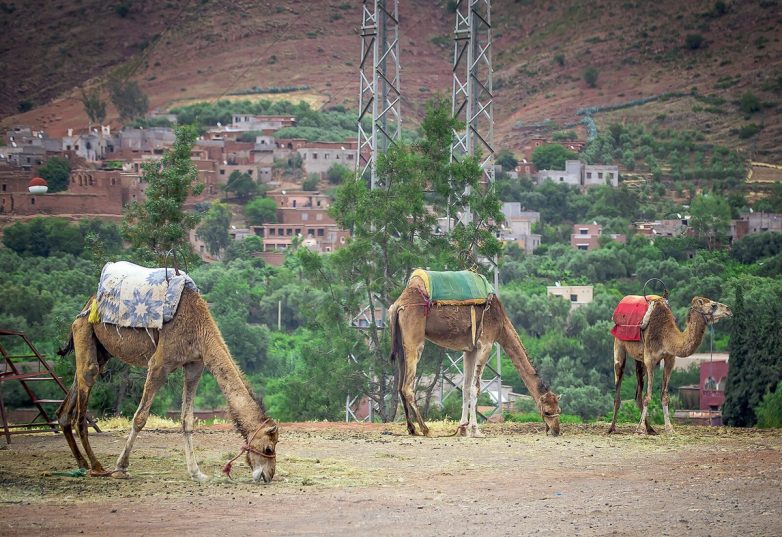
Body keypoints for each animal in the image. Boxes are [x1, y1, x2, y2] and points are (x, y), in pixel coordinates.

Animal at [58, 286, 278, 484]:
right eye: (268, 448)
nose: (268, 476)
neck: (199, 328)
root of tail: (88, 304)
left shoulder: (194, 365)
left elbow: (187, 421)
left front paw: (197, 474)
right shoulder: (159, 364)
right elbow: (140, 418)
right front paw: (120, 468)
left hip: (101, 349)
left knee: (68, 404)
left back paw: (82, 464)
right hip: (85, 330)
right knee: (86, 384)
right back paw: (97, 467)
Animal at [388, 274, 560, 438]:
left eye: (559, 410)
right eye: (547, 411)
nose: (556, 430)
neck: (501, 324)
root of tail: (398, 305)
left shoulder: (469, 349)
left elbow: (465, 387)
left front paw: (463, 429)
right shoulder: (486, 343)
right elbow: (475, 388)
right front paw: (475, 430)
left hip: (401, 344)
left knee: (400, 386)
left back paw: (412, 429)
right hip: (415, 340)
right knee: (407, 386)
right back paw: (425, 429)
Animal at [608, 296, 736, 434]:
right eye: (713, 305)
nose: (729, 310)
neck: (666, 336)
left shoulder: (670, 359)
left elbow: (664, 396)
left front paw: (669, 428)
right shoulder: (650, 360)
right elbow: (648, 396)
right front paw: (640, 429)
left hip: (639, 359)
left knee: (638, 394)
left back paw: (650, 428)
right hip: (619, 345)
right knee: (619, 381)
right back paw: (612, 428)